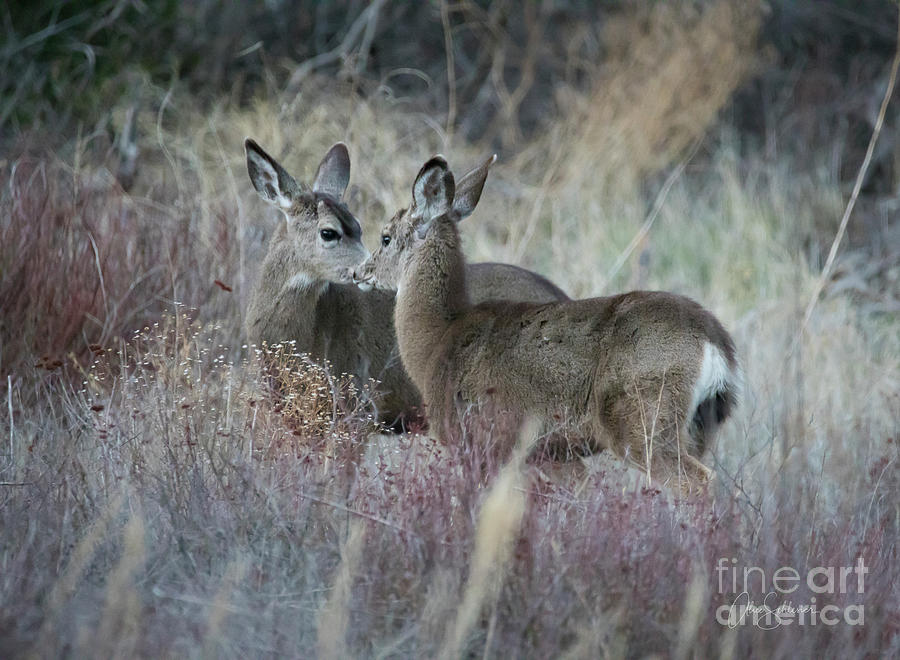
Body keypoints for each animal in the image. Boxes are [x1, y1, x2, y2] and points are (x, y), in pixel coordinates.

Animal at [352, 156, 740, 490]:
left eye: (385, 237)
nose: (358, 272)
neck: (436, 340)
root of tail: (715, 342)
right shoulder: (551, 453)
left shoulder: (478, 439)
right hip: (699, 427)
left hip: (643, 418)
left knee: (696, 483)